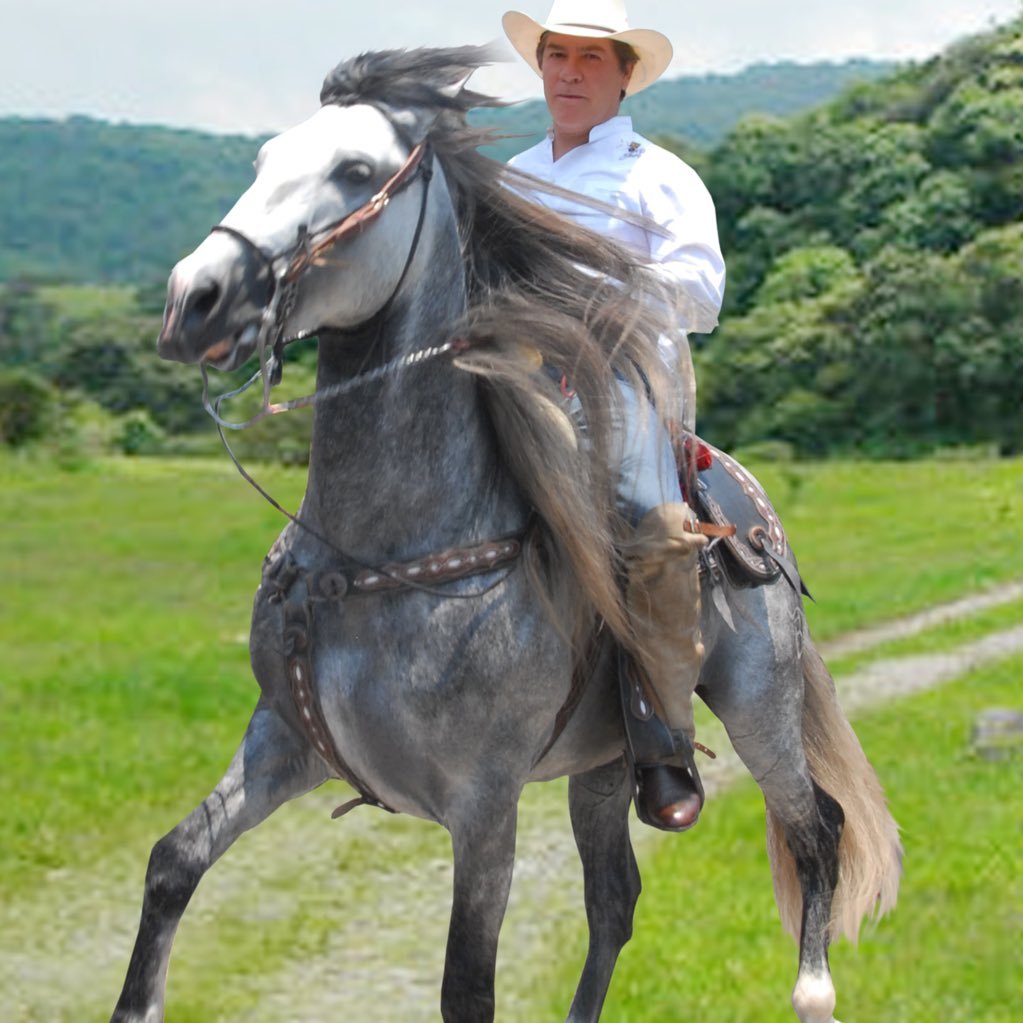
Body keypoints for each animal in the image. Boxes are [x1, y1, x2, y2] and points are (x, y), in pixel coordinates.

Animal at [107, 43, 900, 1018]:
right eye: (262, 160)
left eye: (355, 170)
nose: (195, 300)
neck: (374, 561)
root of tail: (749, 506)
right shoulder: (283, 741)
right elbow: (172, 862)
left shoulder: (482, 805)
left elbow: (466, 985)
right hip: (606, 762)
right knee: (614, 899)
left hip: (759, 702)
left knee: (814, 824)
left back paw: (813, 989)